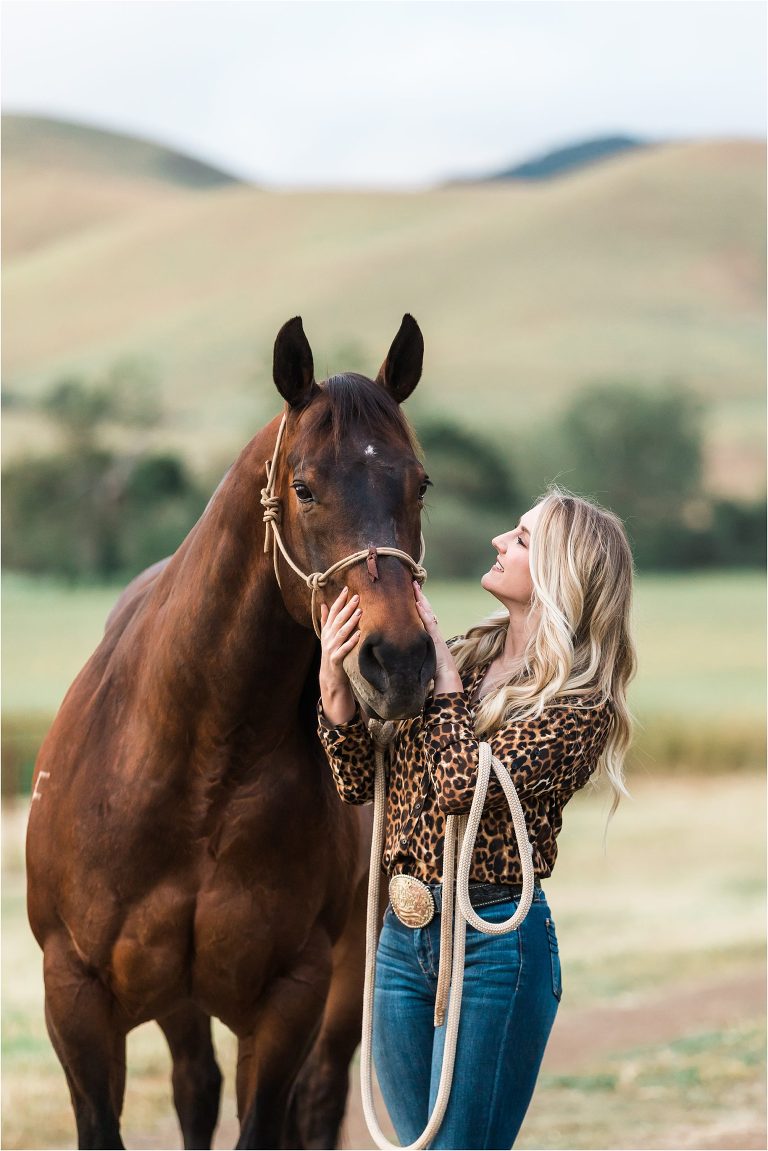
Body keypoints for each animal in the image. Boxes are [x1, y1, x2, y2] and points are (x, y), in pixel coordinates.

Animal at [26, 314, 436, 1150]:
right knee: (195, 1085)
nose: (399, 658)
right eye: (303, 487)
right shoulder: (75, 997)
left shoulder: (290, 996)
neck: (196, 769)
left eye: (419, 483)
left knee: (316, 1101)